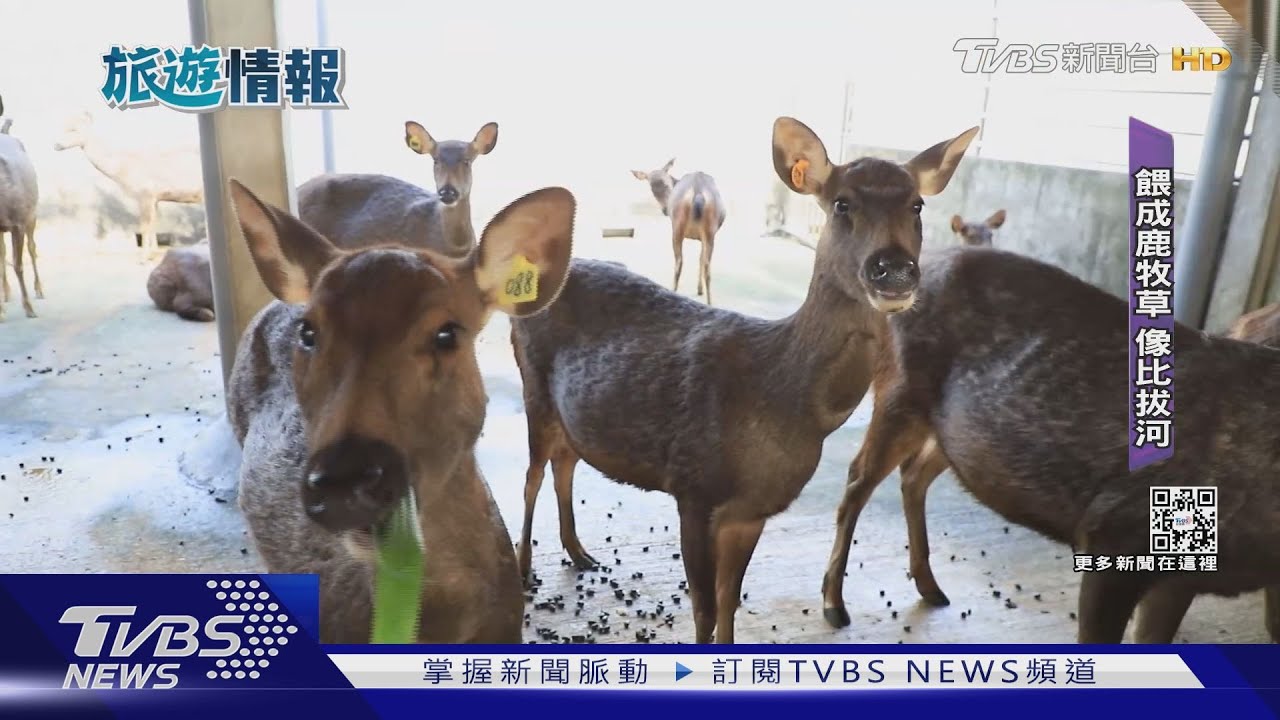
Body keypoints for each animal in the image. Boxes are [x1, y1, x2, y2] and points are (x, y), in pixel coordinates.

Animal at [52, 111, 203, 257]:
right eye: (63, 127)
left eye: (74, 130)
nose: (56, 145)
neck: (122, 167)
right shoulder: (155, 198)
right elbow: (153, 224)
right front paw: (153, 253)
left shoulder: (145, 194)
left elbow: (144, 226)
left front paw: (143, 258)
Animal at [631, 159, 727, 305]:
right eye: (652, 189)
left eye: (666, 184)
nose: (665, 210)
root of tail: (697, 193)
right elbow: (700, 258)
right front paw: (699, 290)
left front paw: (699, 290)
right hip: (708, 231)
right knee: (704, 265)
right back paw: (708, 303)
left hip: (678, 227)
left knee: (680, 263)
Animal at [819, 244, 1280, 644]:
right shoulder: (1115, 532)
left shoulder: (1183, 576)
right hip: (898, 389)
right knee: (858, 480)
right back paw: (834, 604)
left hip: (950, 429)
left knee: (914, 474)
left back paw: (930, 587)